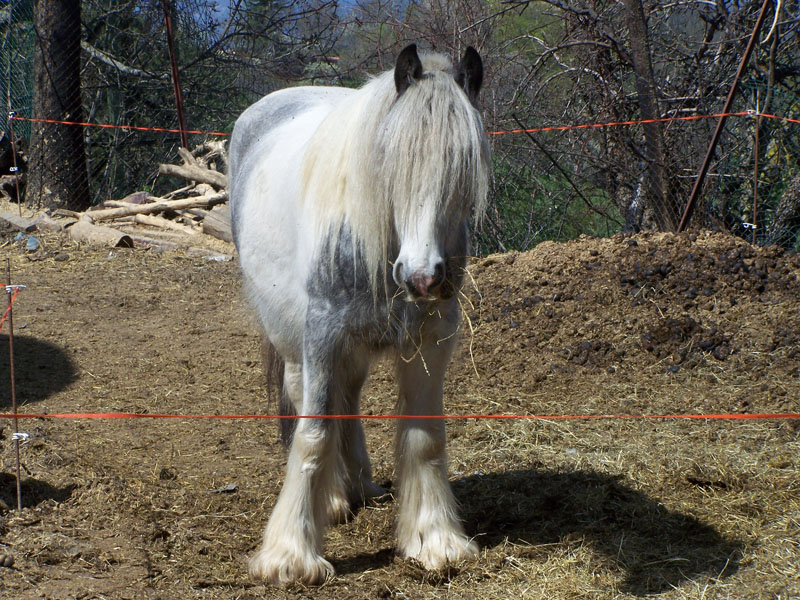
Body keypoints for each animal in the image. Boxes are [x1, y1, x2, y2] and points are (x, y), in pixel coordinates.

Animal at [228, 43, 490, 584]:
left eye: (461, 169)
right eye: (393, 164)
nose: (423, 277)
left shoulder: (431, 339)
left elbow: (425, 438)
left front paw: (436, 540)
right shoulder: (323, 334)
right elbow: (313, 433)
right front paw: (291, 556)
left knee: (346, 400)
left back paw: (353, 488)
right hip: (295, 340)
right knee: (308, 400)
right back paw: (329, 500)